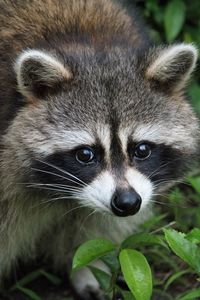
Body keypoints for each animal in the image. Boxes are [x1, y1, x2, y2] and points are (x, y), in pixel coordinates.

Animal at [0, 0, 198, 298]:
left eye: (141, 149)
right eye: (85, 154)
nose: (127, 203)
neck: (87, 44)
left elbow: (93, 225)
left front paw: (88, 269)